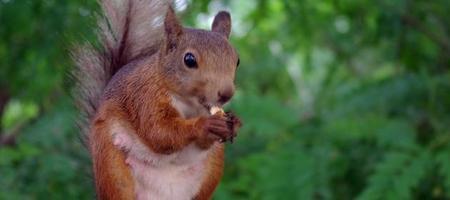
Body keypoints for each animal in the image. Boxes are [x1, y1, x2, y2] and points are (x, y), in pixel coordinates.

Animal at [74, 0, 243, 199]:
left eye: (237, 60)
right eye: (189, 59)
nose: (226, 93)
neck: (190, 103)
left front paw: (235, 122)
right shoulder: (145, 98)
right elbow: (159, 132)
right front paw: (205, 124)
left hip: (211, 171)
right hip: (111, 165)